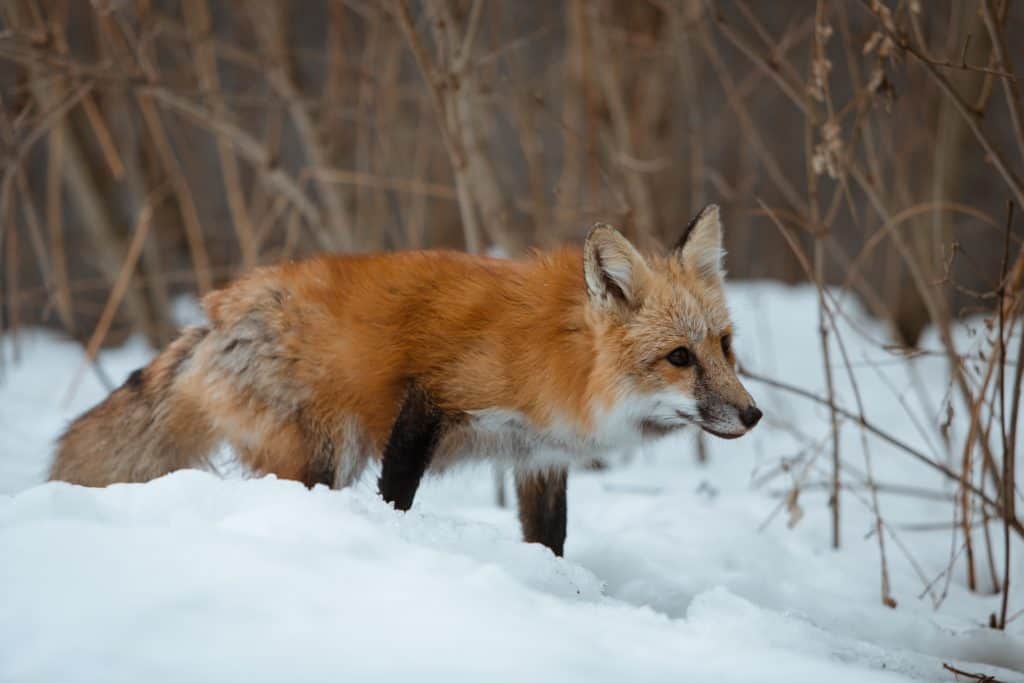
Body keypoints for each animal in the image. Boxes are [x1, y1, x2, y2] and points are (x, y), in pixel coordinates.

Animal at [51, 202, 765, 557]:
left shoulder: (538, 456)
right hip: (319, 456)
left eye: (725, 347)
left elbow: (550, 541)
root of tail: (217, 311)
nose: (754, 415)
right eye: (679, 357)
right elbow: (396, 495)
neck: (561, 358)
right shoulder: (432, 398)